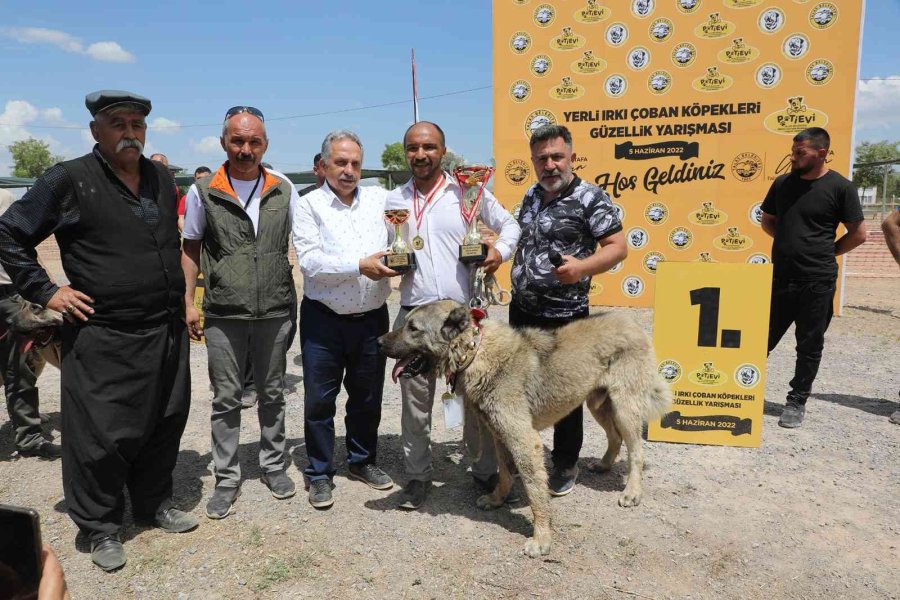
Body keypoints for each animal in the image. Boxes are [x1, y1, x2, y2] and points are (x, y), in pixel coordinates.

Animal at [376, 300, 672, 556]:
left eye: (413, 328)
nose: (377, 342)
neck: (474, 351)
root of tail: (630, 322)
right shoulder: (499, 434)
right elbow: (505, 474)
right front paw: (496, 499)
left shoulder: (524, 441)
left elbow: (535, 492)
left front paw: (541, 538)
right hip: (597, 402)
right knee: (614, 436)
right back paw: (604, 464)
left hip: (624, 406)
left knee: (636, 451)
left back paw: (632, 492)